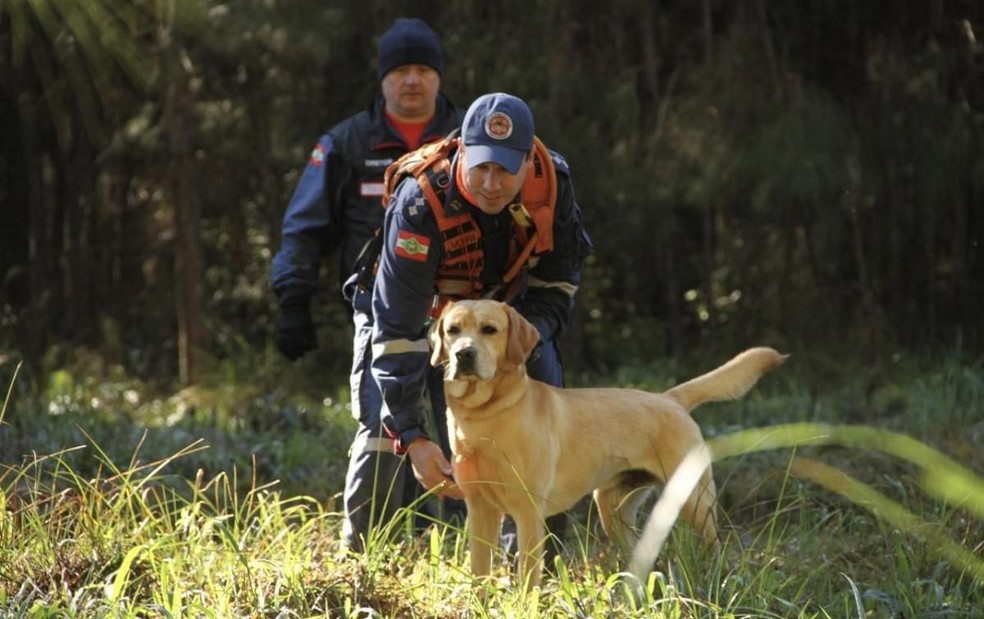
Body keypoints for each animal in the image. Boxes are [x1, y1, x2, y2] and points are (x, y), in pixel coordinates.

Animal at [426, 300, 788, 592]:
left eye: (489, 330)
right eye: (453, 330)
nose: (463, 354)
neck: (483, 417)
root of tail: (669, 398)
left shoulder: (528, 513)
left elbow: (527, 577)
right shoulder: (480, 510)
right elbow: (479, 573)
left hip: (696, 502)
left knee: (716, 546)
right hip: (612, 509)